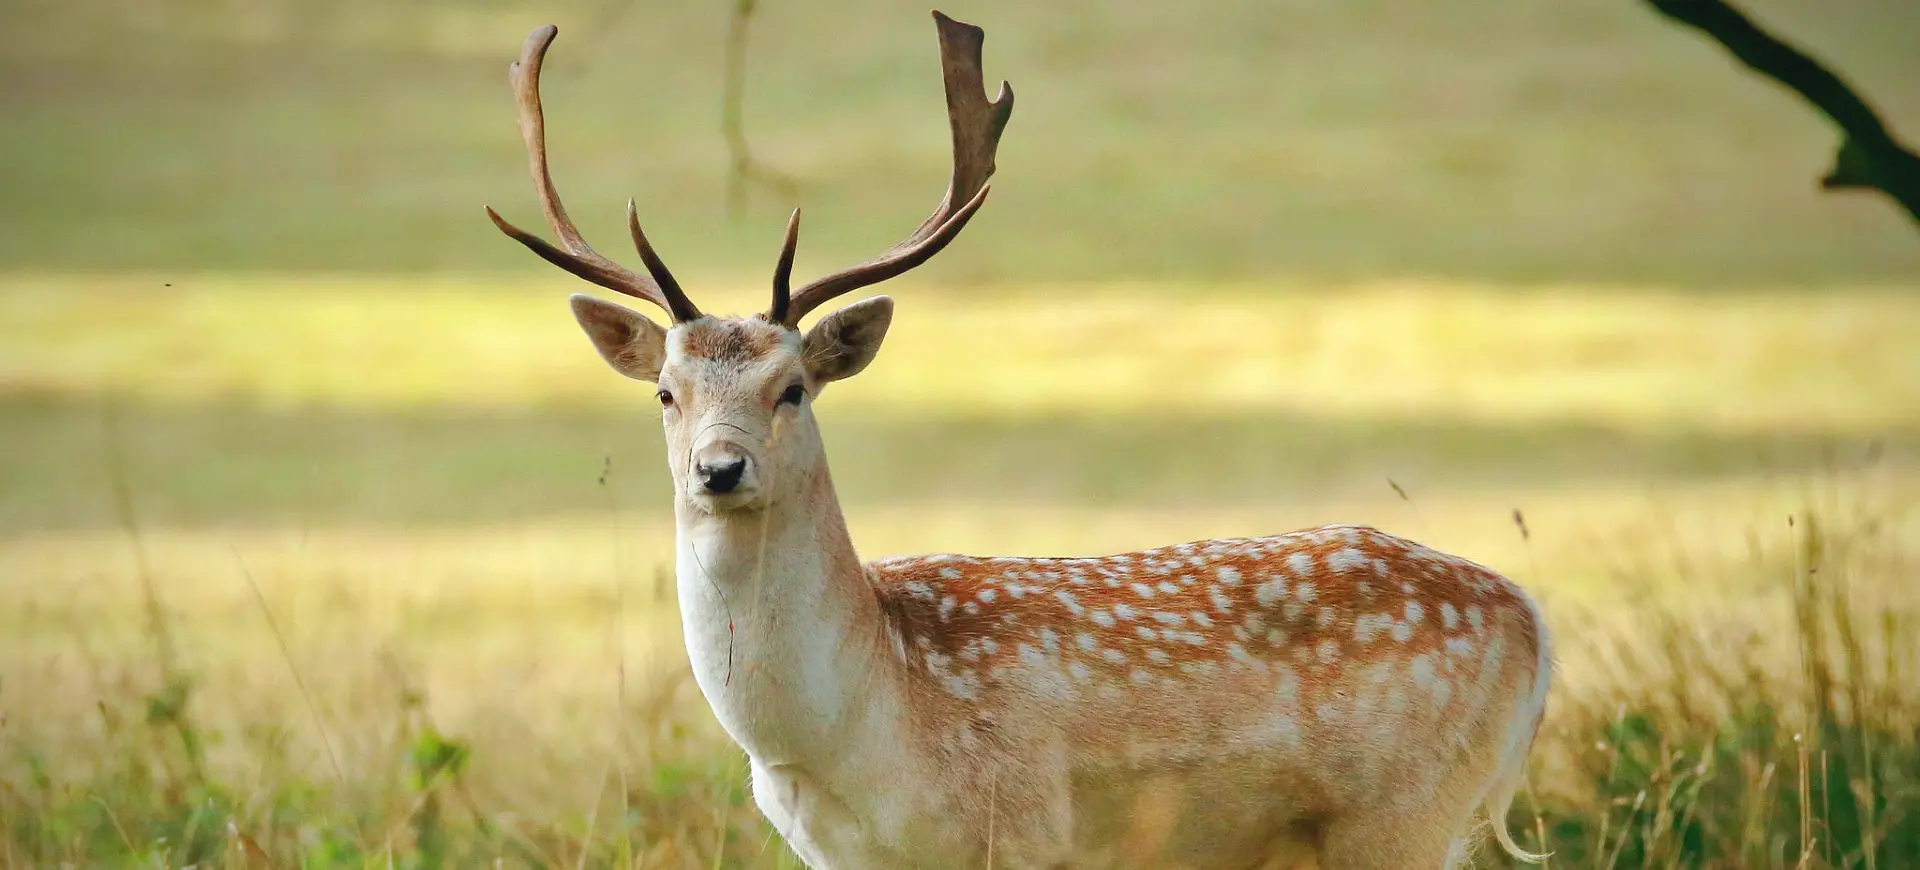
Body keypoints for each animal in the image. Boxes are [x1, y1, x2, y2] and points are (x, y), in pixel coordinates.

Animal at [487, 10, 1551, 864]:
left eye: (792, 388)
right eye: (666, 394)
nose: (719, 469)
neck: (853, 731)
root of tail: (1535, 623)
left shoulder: (1025, 826)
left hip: (1407, 813)